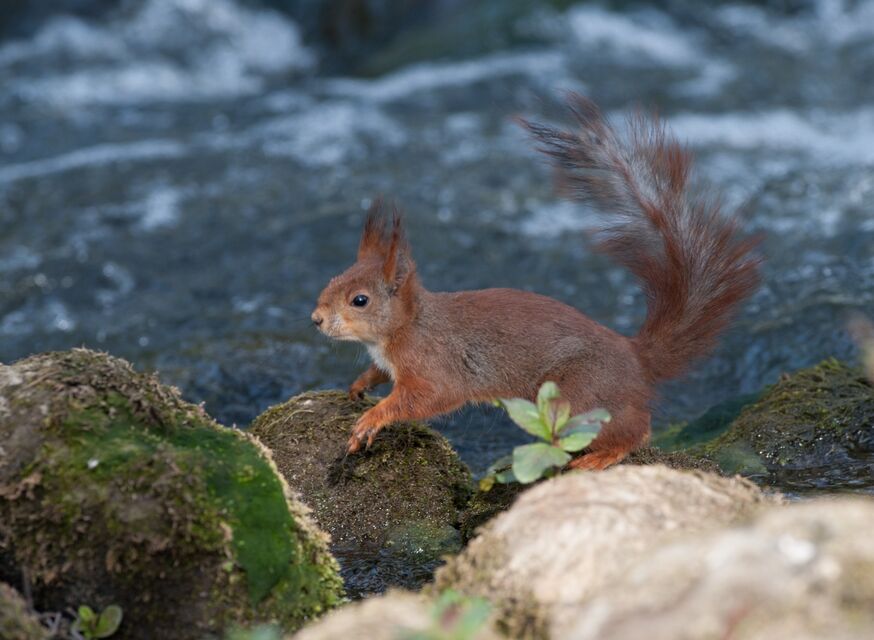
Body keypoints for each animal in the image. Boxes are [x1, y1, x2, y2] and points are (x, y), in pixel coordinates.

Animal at [311, 94, 761, 470]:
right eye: (333, 279)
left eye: (360, 300)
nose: (315, 319)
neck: (404, 327)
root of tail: (636, 356)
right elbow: (379, 375)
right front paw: (360, 385)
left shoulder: (435, 365)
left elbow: (429, 397)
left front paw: (372, 418)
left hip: (577, 396)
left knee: (635, 428)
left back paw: (602, 455)